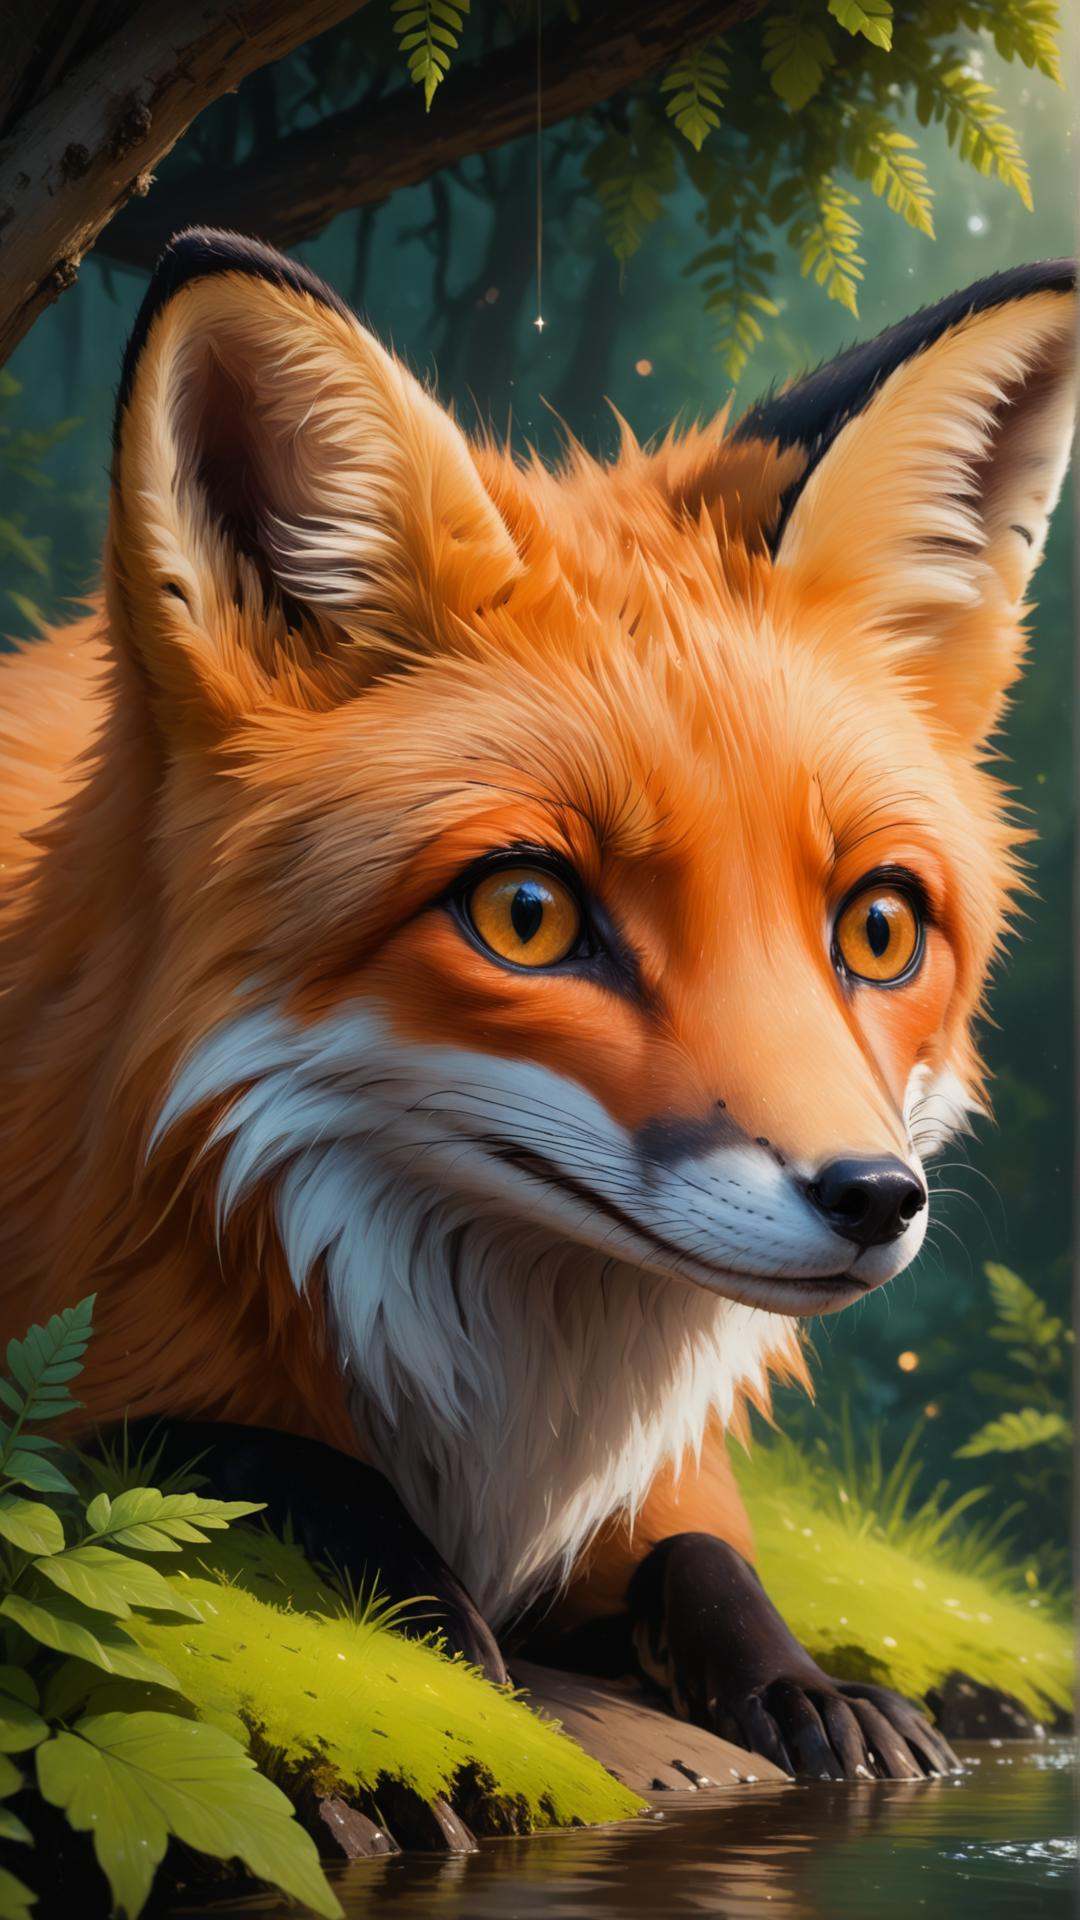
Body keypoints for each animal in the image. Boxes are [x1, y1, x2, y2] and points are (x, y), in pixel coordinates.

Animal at [0, 230, 1073, 1784]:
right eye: (529, 915)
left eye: (878, 929)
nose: (875, 1199)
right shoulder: (90, 1352)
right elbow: (268, 1462)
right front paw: (451, 1655)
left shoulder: (655, 1484)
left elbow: (704, 1556)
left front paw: (811, 1688)